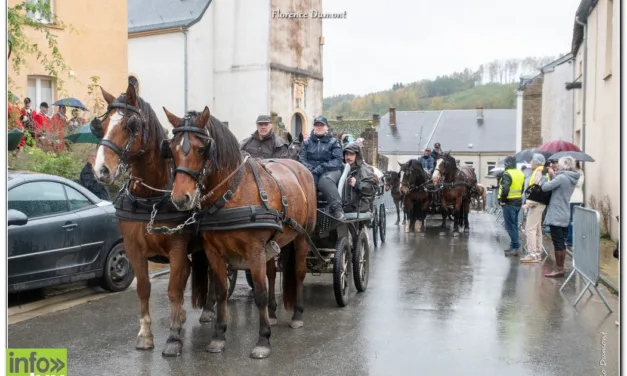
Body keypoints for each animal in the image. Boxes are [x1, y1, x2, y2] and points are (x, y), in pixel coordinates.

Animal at [92, 83, 211, 356]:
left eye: (130, 126)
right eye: (102, 126)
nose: (101, 170)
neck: (151, 199)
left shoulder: (177, 247)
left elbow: (174, 289)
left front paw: (173, 337)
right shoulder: (134, 249)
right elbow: (144, 288)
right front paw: (146, 335)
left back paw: (208, 310)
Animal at [163, 106, 316, 358]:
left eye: (201, 148)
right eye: (171, 149)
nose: (180, 199)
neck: (231, 193)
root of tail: (301, 168)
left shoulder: (254, 251)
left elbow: (260, 293)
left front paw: (263, 340)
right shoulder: (214, 251)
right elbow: (221, 291)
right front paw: (218, 337)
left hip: (302, 237)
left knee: (299, 272)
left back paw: (297, 314)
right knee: (272, 274)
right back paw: (273, 313)